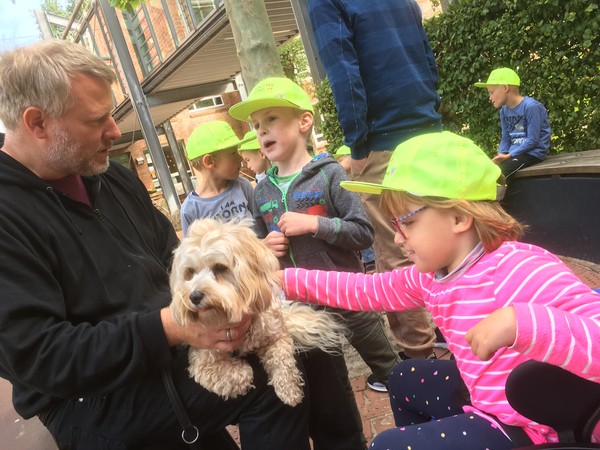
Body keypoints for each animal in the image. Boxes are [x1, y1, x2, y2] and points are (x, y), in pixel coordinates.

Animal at [170, 219, 346, 408]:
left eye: (220, 267)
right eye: (190, 272)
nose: (194, 296)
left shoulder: (277, 335)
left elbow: (282, 359)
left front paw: (289, 390)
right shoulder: (202, 356)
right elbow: (228, 375)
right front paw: (244, 372)